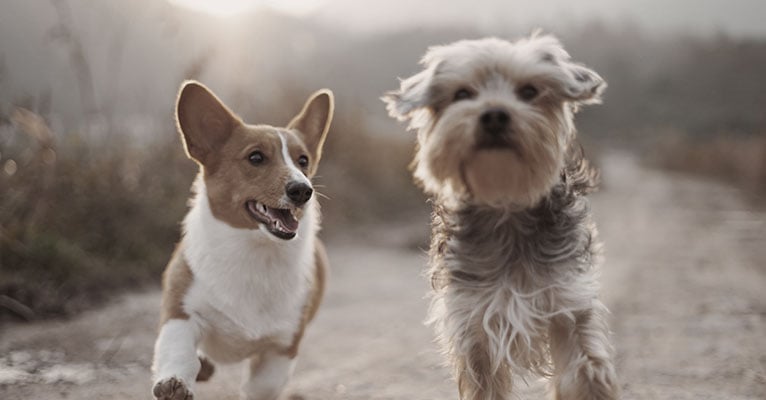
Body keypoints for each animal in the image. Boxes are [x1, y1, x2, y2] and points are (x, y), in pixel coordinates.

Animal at [152, 81, 332, 400]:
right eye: (256, 157)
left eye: (303, 161)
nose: (303, 190)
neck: (254, 250)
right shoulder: (181, 312)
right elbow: (179, 352)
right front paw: (174, 383)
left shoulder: (281, 347)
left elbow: (262, 386)